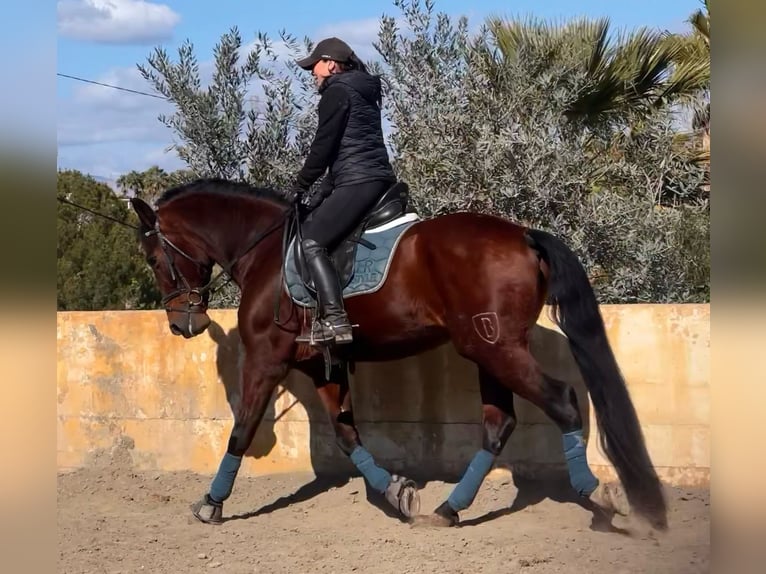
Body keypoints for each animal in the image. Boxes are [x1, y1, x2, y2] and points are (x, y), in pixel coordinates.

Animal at [129, 180, 668, 536]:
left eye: (155, 259)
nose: (183, 325)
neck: (264, 253)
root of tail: (522, 235)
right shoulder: (322, 365)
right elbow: (347, 436)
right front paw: (398, 494)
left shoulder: (265, 359)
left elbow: (240, 430)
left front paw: (211, 503)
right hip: (488, 352)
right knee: (499, 424)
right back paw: (448, 510)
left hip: (497, 350)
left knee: (561, 402)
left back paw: (600, 500)